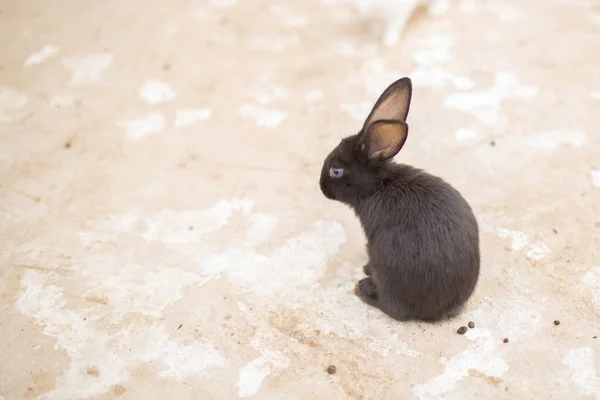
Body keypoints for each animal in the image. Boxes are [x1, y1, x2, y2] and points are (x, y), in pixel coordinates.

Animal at [322, 77, 480, 322]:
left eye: (336, 171)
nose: (322, 188)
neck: (379, 185)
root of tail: (437, 312)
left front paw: (365, 271)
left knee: (395, 310)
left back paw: (364, 289)